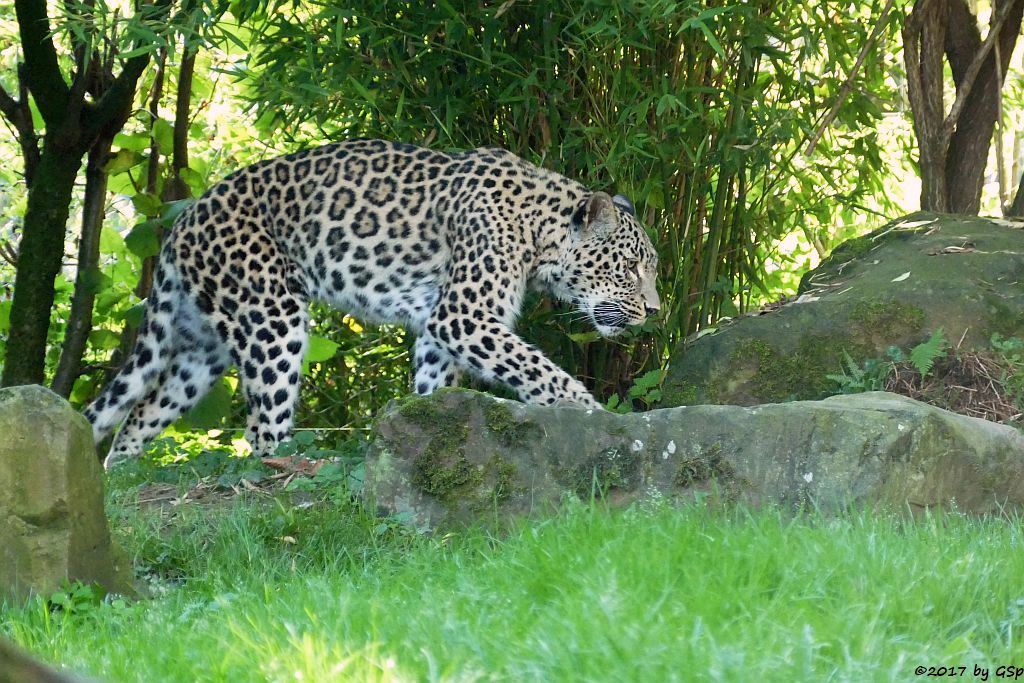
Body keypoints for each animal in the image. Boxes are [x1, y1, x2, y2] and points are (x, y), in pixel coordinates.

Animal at [83, 140, 659, 471]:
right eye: (631, 267)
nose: (655, 312)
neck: (540, 232)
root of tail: (183, 219)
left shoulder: (439, 324)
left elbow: (434, 382)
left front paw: (431, 427)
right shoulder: (464, 316)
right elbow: (536, 366)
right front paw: (590, 412)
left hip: (202, 349)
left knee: (142, 409)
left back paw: (118, 474)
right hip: (272, 320)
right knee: (261, 428)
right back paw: (290, 468)